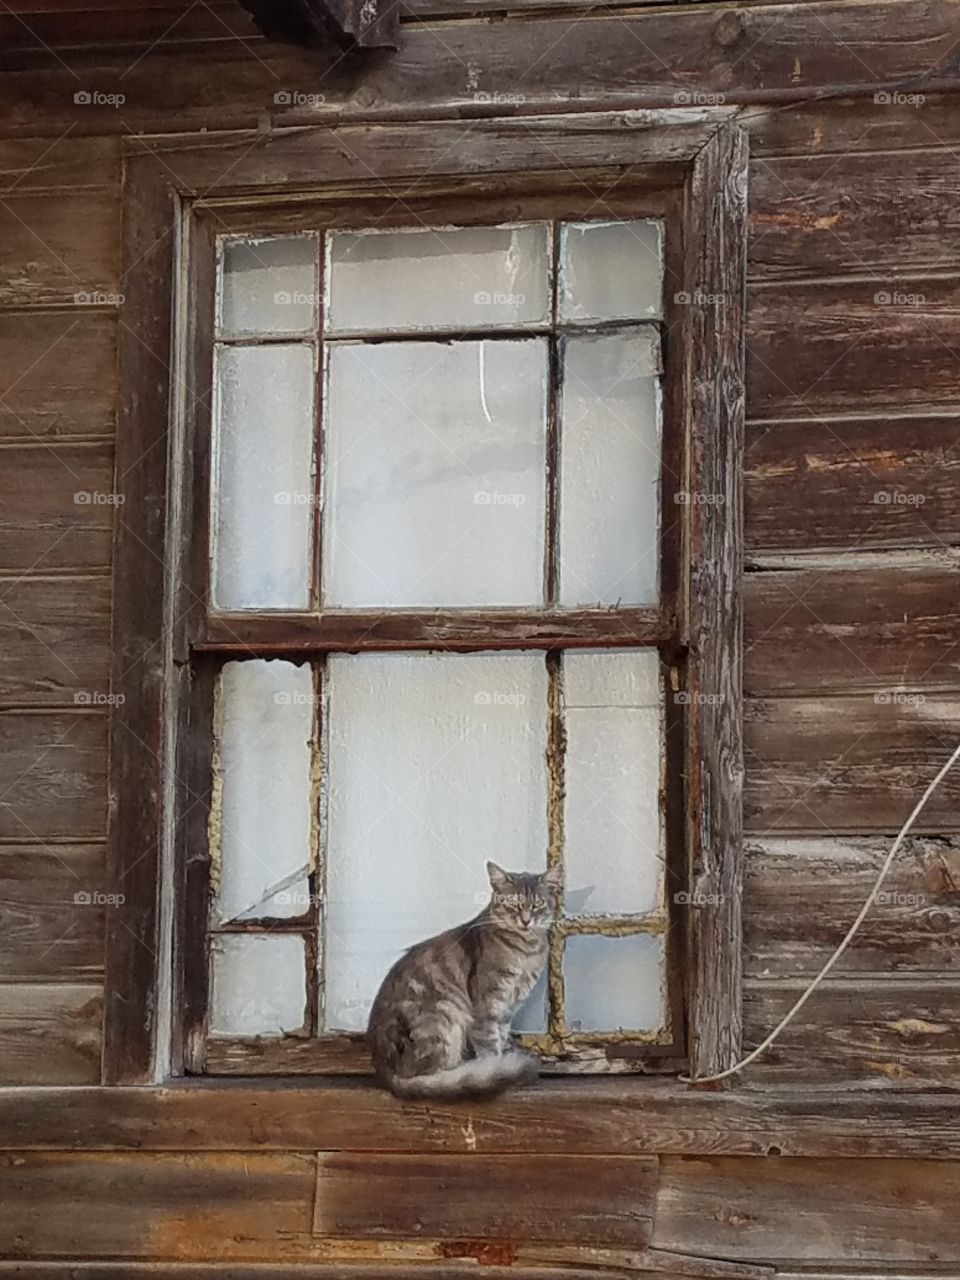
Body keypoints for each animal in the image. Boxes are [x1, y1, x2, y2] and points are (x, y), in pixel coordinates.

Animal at [368, 860, 563, 1100]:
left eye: (537, 904)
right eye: (513, 903)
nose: (526, 921)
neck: (526, 951)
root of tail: (385, 1072)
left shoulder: (507, 1008)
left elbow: (501, 1037)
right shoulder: (488, 1006)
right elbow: (491, 1049)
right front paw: (497, 1069)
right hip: (444, 1015)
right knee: (425, 1073)